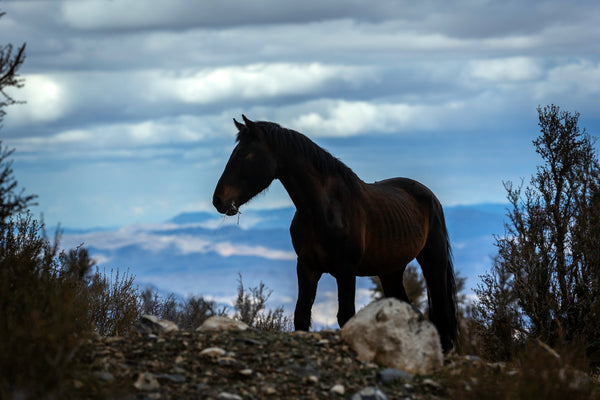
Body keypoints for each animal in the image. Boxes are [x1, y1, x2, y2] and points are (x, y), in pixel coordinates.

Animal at [212, 114, 460, 352]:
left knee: (441, 314)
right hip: (391, 269)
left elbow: (346, 316)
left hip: (433, 261)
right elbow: (301, 316)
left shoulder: (346, 270)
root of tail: (429, 196)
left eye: (243, 154)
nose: (218, 200)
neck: (323, 210)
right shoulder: (307, 267)